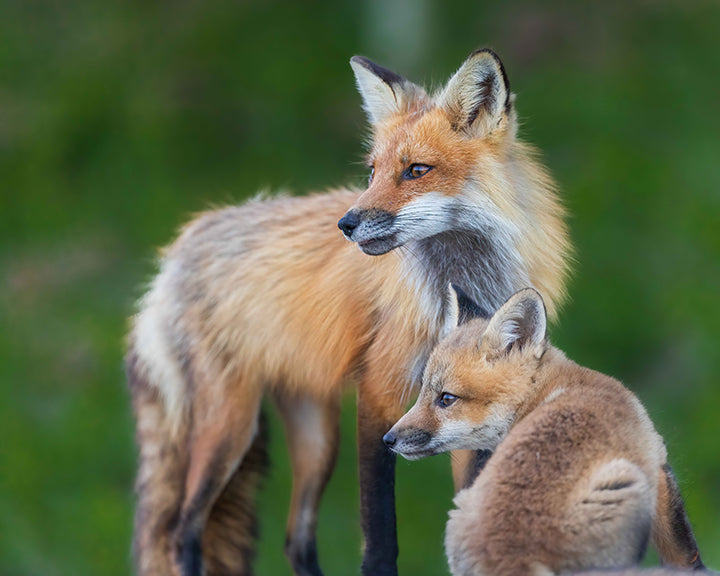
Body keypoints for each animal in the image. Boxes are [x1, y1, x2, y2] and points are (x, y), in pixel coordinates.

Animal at [126, 49, 572, 576]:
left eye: (416, 170)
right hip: (229, 428)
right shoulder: (380, 391)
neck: (463, 283)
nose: (346, 224)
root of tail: (178, 247)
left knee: (296, 540)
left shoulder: (468, 413)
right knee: (183, 532)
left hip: (316, 437)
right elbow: (378, 533)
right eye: (372, 172)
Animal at [386, 288, 700, 576]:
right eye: (423, 392)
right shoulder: (659, 468)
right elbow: (685, 554)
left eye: (446, 398)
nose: (388, 439)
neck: (542, 393)